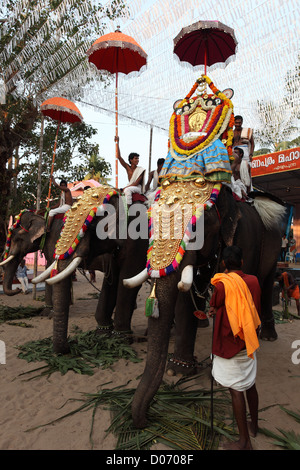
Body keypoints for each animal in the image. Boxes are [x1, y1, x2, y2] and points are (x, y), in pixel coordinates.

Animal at [35, 184, 149, 352]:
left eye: (91, 226)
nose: (70, 345)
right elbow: (111, 280)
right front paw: (102, 333)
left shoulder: (139, 239)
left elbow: (127, 277)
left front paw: (120, 338)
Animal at [124, 184, 286, 430]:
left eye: (196, 228)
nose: (144, 420)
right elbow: (186, 298)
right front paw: (178, 370)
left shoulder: (247, 239)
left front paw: (218, 378)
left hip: (275, 250)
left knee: (266, 283)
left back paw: (265, 336)